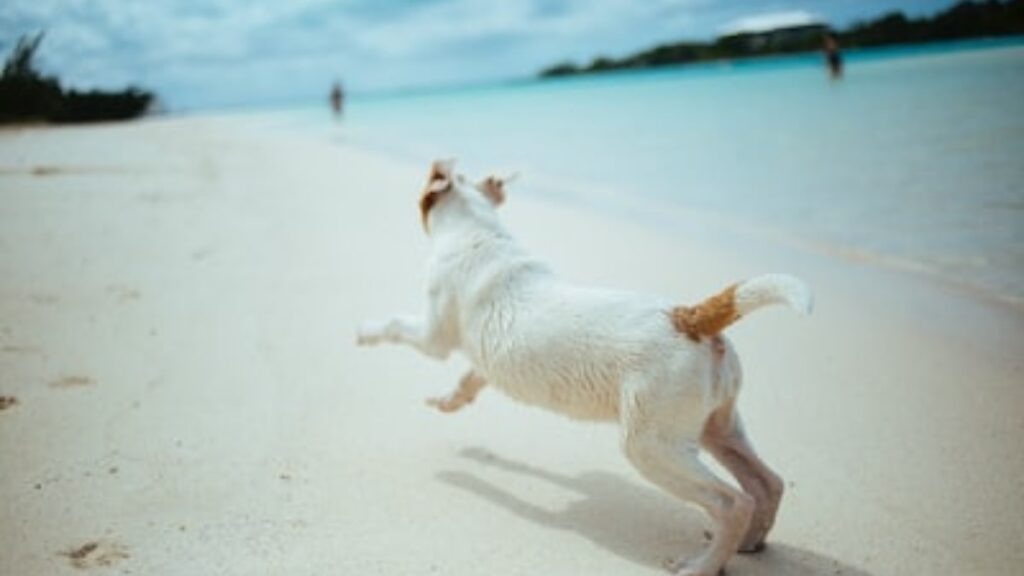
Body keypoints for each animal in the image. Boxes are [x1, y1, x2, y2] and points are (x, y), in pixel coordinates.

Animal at [356, 157, 811, 573]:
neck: (478, 233)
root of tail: (690, 318)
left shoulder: (433, 336)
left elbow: (395, 326)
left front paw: (364, 333)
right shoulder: (484, 360)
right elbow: (469, 380)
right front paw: (448, 401)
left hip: (651, 446)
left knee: (733, 501)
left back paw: (703, 564)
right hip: (717, 428)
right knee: (766, 483)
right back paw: (750, 544)